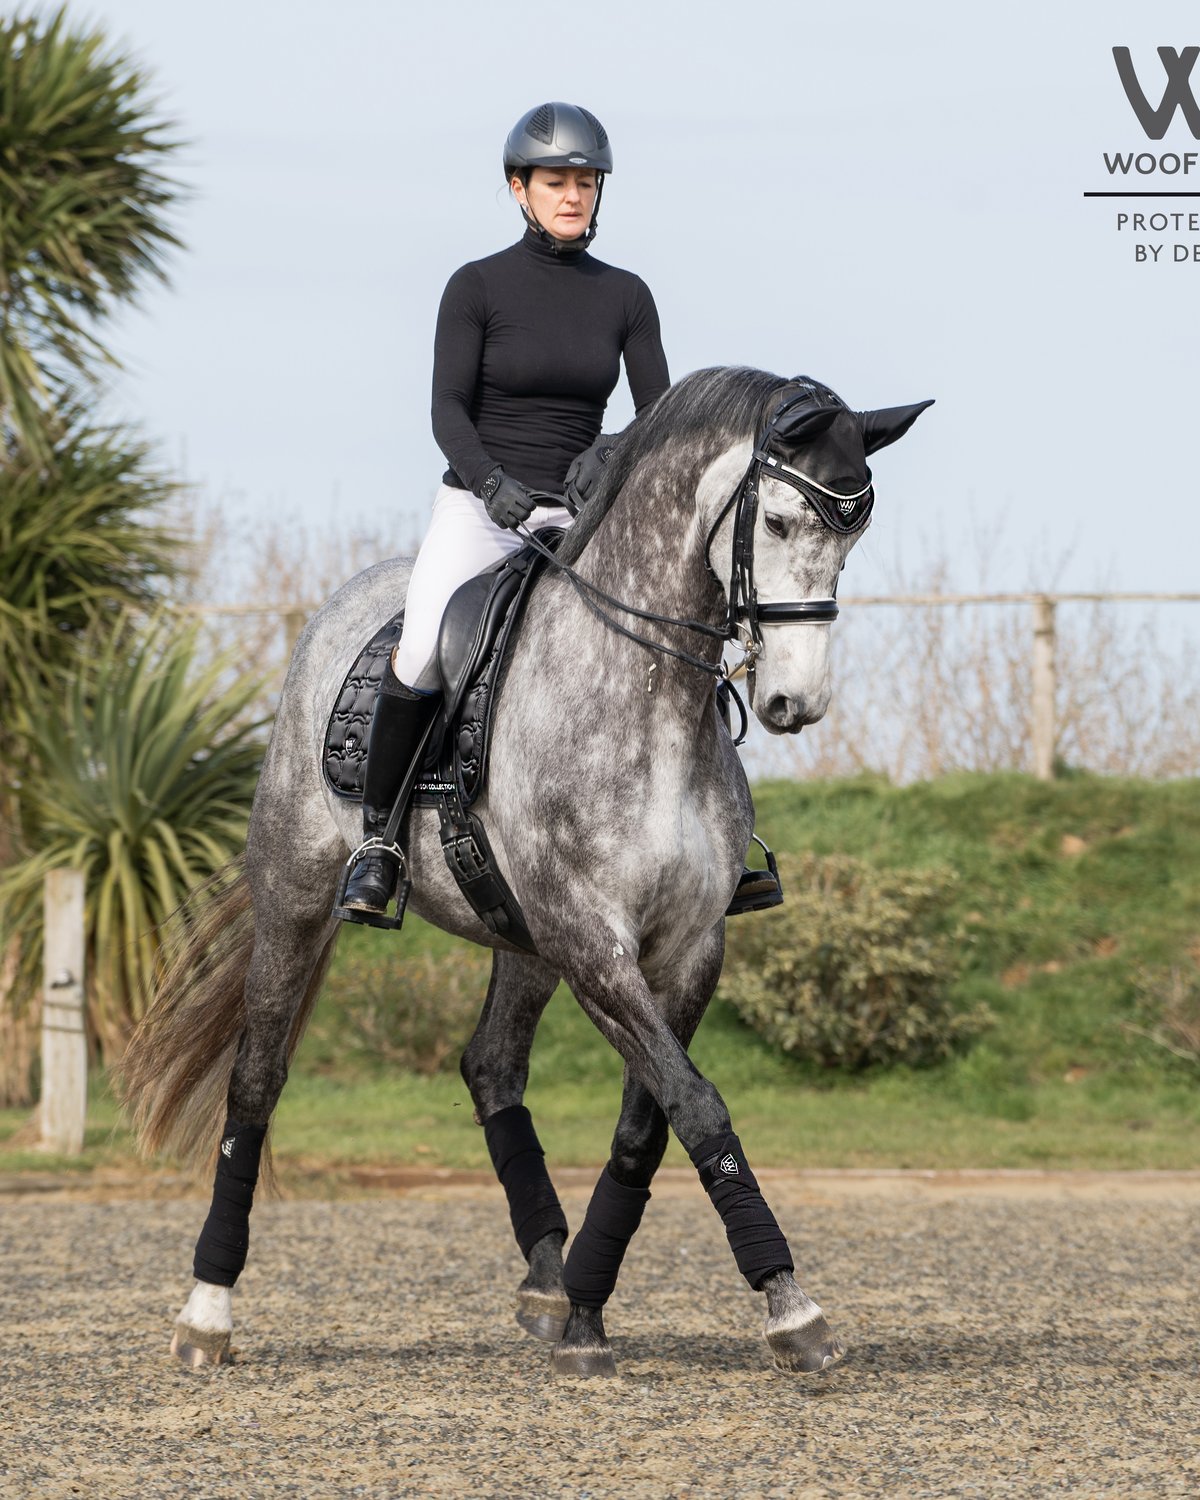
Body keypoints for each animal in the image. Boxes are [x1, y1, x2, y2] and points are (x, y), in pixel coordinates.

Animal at [119, 365, 932, 1378]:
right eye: (779, 523)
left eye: (853, 535)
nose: (796, 702)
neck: (645, 700)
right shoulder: (592, 943)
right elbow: (697, 1105)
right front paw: (790, 1308)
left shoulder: (686, 951)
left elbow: (649, 1124)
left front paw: (586, 1306)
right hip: (299, 900)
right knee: (256, 1081)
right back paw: (207, 1312)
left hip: (519, 935)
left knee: (491, 1067)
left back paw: (549, 1280)